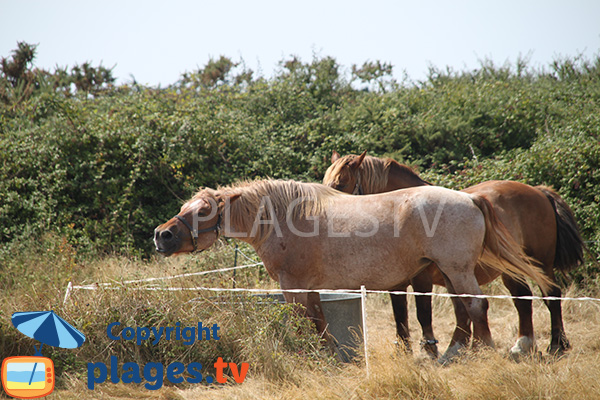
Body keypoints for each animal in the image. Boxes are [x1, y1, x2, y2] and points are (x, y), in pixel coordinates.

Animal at [156, 180, 552, 358]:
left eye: (203, 211)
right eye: (185, 207)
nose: (163, 235)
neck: (284, 220)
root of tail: (470, 197)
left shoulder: (293, 286)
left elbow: (306, 322)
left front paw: (314, 356)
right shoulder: (308, 287)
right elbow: (318, 321)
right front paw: (328, 355)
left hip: (458, 270)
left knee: (475, 307)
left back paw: (482, 353)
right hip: (451, 272)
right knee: (464, 311)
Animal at [326, 152, 584, 360]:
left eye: (341, 183)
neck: (401, 212)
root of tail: (538, 191)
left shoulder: (422, 279)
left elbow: (423, 313)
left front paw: (429, 350)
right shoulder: (397, 284)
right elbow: (400, 316)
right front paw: (403, 351)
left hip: (541, 265)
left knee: (551, 295)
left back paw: (557, 344)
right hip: (511, 271)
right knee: (522, 299)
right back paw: (523, 346)